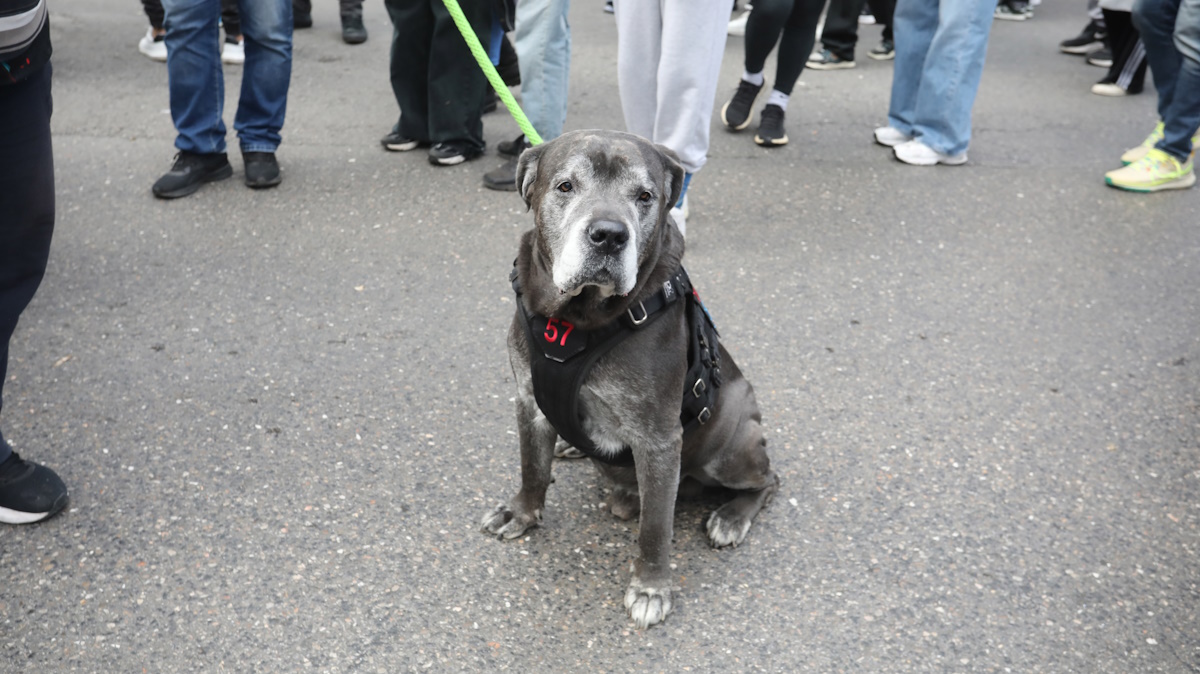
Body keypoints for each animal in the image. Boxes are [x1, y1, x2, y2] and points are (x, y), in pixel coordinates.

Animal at [477, 130, 777, 623]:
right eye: (565, 186)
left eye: (644, 196)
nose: (609, 235)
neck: (577, 320)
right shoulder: (529, 400)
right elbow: (532, 467)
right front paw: (521, 512)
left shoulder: (657, 441)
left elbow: (655, 525)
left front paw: (652, 587)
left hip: (732, 442)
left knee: (769, 480)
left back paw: (731, 517)